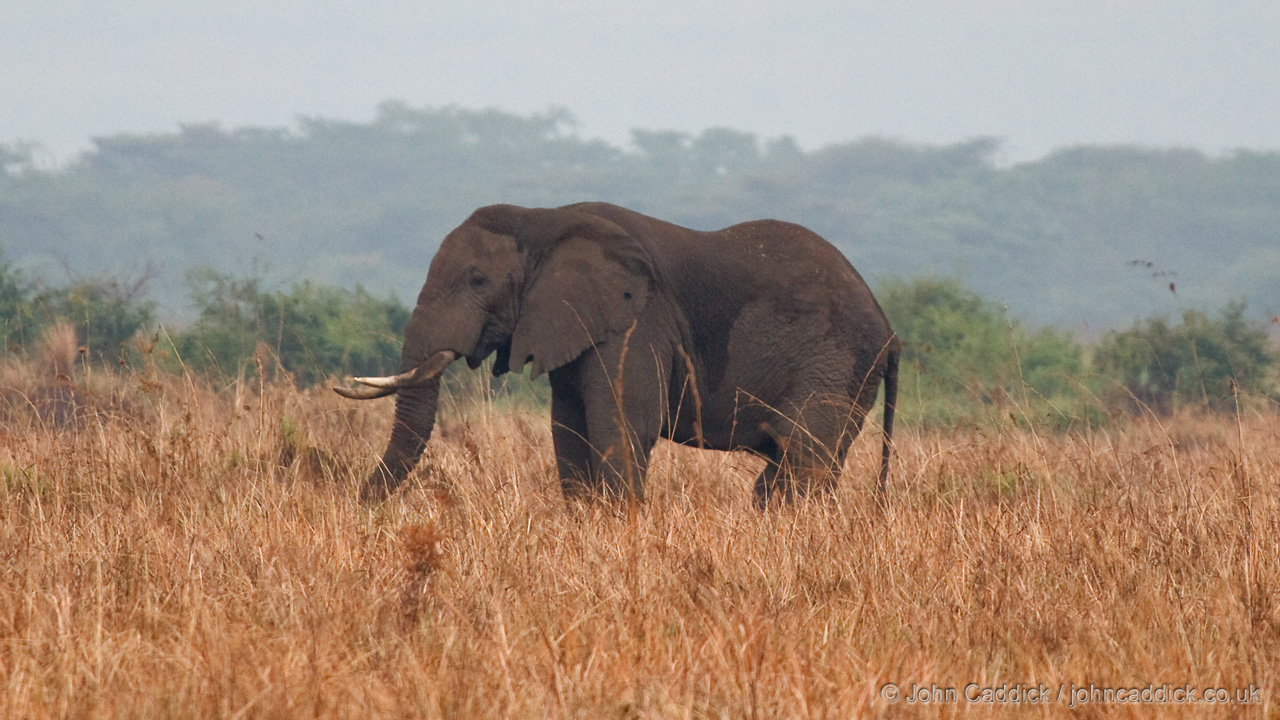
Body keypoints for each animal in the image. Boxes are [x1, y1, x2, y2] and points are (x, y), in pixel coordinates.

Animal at [336, 202, 900, 506]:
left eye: (477, 280)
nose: (361, 512)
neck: (545, 220)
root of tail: (890, 329)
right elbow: (569, 430)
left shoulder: (637, 320)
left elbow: (622, 426)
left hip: (834, 362)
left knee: (803, 460)